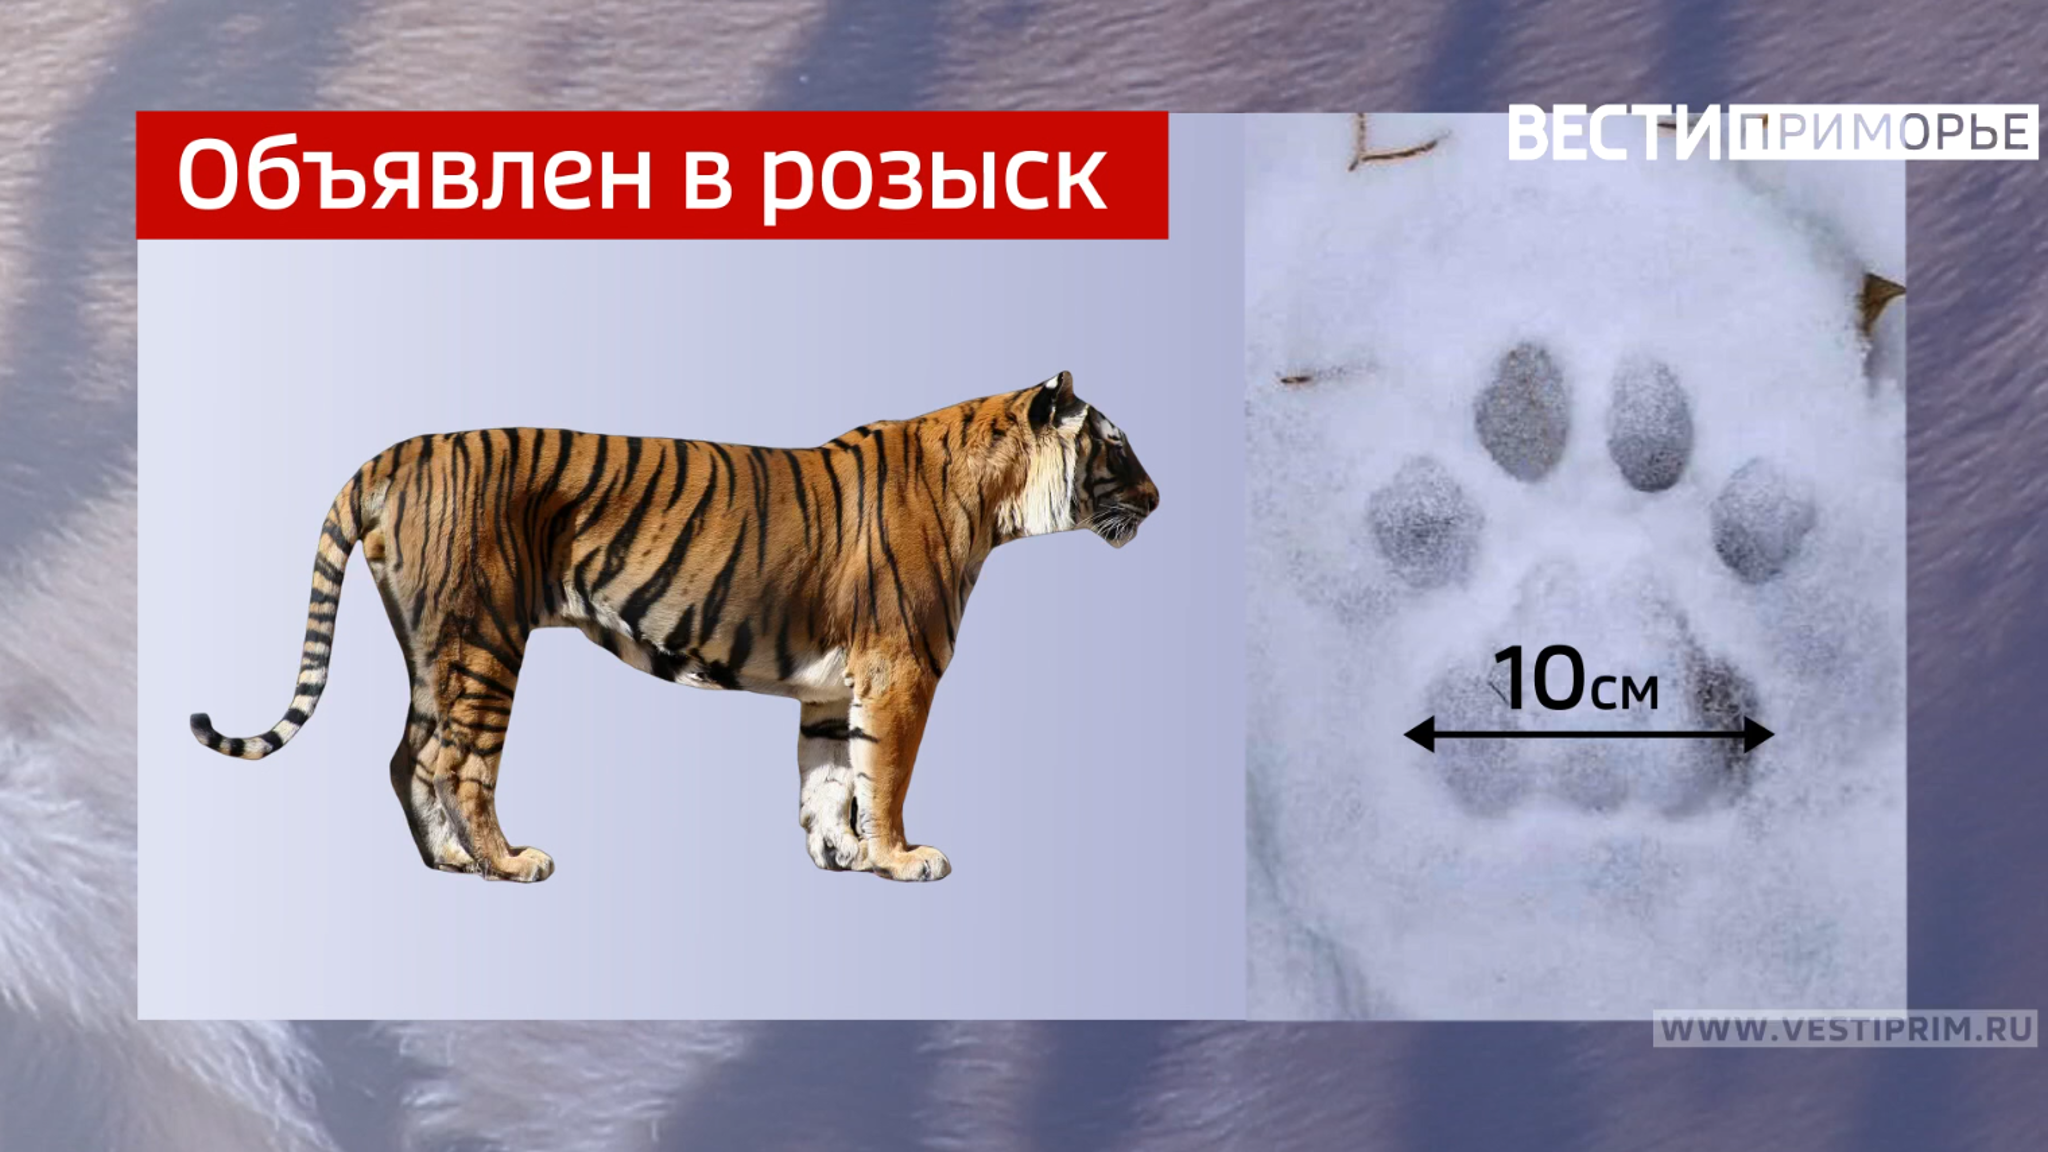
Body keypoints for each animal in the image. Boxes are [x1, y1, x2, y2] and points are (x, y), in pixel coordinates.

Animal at [189, 370, 1158, 884]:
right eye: (1115, 445)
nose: (1156, 496)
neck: (998, 500)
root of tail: (397, 452)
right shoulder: (901, 671)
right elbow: (883, 777)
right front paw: (901, 858)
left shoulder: (832, 687)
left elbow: (828, 776)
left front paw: (840, 855)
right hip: (484, 642)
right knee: (457, 763)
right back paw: (510, 863)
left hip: (436, 648)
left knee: (407, 755)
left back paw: (453, 864)